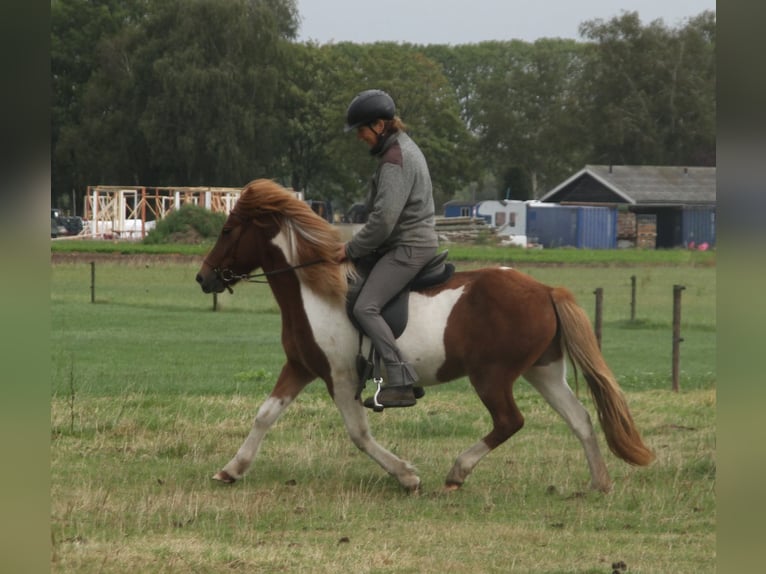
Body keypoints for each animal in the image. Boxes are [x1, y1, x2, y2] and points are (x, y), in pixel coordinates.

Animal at [195, 178, 654, 493]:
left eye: (227, 231)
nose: (203, 278)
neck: (314, 290)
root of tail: (544, 289)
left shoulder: (340, 378)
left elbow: (359, 434)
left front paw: (407, 476)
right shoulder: (301, 367)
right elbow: (265, 414)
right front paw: (231, 469)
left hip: (492, 376)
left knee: (510, 421)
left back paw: (457, 472)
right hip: (543, 371)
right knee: (579, 419)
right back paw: (599, 482)